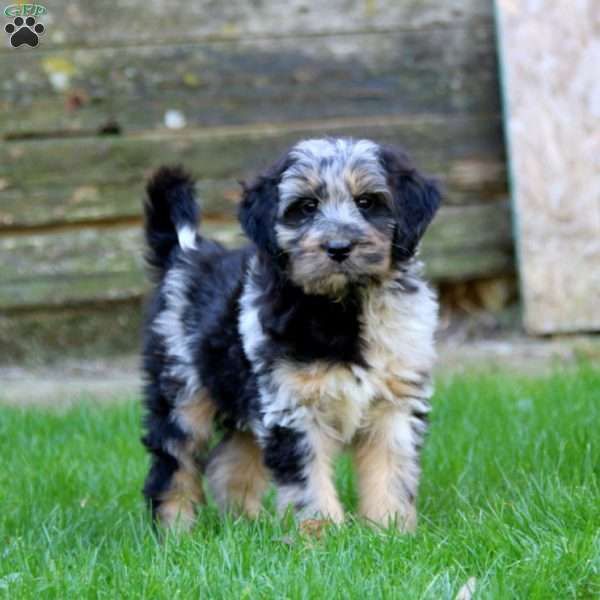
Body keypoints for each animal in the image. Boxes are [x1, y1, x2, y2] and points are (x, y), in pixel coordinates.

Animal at [141, 138, 440, 532]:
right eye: (306, 207)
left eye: (367, 202)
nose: (338, 248)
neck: (342, 307)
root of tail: (184, 254)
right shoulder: (293, 409)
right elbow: (308, 484)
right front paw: (321, 536)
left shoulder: (395, 404)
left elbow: (391, 474)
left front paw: (390, 530)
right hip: (181, 391)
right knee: (173, 464)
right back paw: (175, 531)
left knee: (230, 462)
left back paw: (247, 526)